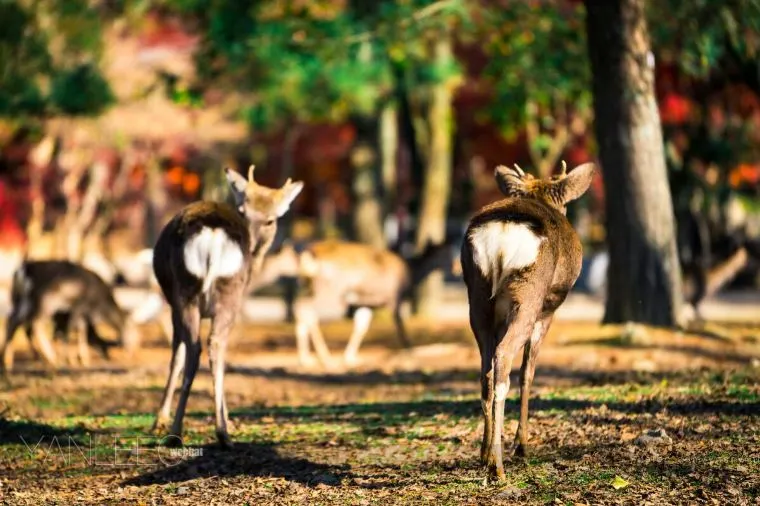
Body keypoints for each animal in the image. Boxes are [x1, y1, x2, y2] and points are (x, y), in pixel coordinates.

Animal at [1, 258, 140, 374]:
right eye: (133, 334)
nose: (132, 352)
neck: (98, 302)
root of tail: (22, 271)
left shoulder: (71, 312)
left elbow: (73, 330)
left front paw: (81, 359)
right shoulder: (79, 304)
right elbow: (76, 330)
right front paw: (74, 360)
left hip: (18, 299)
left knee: (12, 321)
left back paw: (6, 362)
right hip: (43, 301)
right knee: (35, 323)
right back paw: (52, 359)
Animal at [148, 165, 302, 446]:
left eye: (271, 219)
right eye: (243, 210)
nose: (253, 244)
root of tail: (213, 233)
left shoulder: (175, 302)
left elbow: (177, 356)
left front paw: (160, 421)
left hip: (189, 292)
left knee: (200, 348)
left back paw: (183, 431)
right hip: (217, 293)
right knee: (212, 346)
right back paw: (215, 431)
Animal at [290, 237, 452, 368]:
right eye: (446, 255)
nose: (454, 267)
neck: (412, 273)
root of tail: (309, 254)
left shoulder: (366, 303)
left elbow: (361, 327)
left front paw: (350, 358)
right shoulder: (395, 297)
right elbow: (400, 325)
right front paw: (410, 355)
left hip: (307, 285)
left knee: (300, 306)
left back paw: (305, 359)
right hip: (332, 292)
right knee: (308, 311)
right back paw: (325, 358)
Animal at [460, 161, 596, 478]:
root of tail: (501, 238)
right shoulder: (548, 311)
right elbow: (528, 373)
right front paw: (522, 445)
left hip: (478, 295)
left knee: (486, 369)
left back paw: (485, 454)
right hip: (529, 297)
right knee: (505, 360)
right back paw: (498, 465)